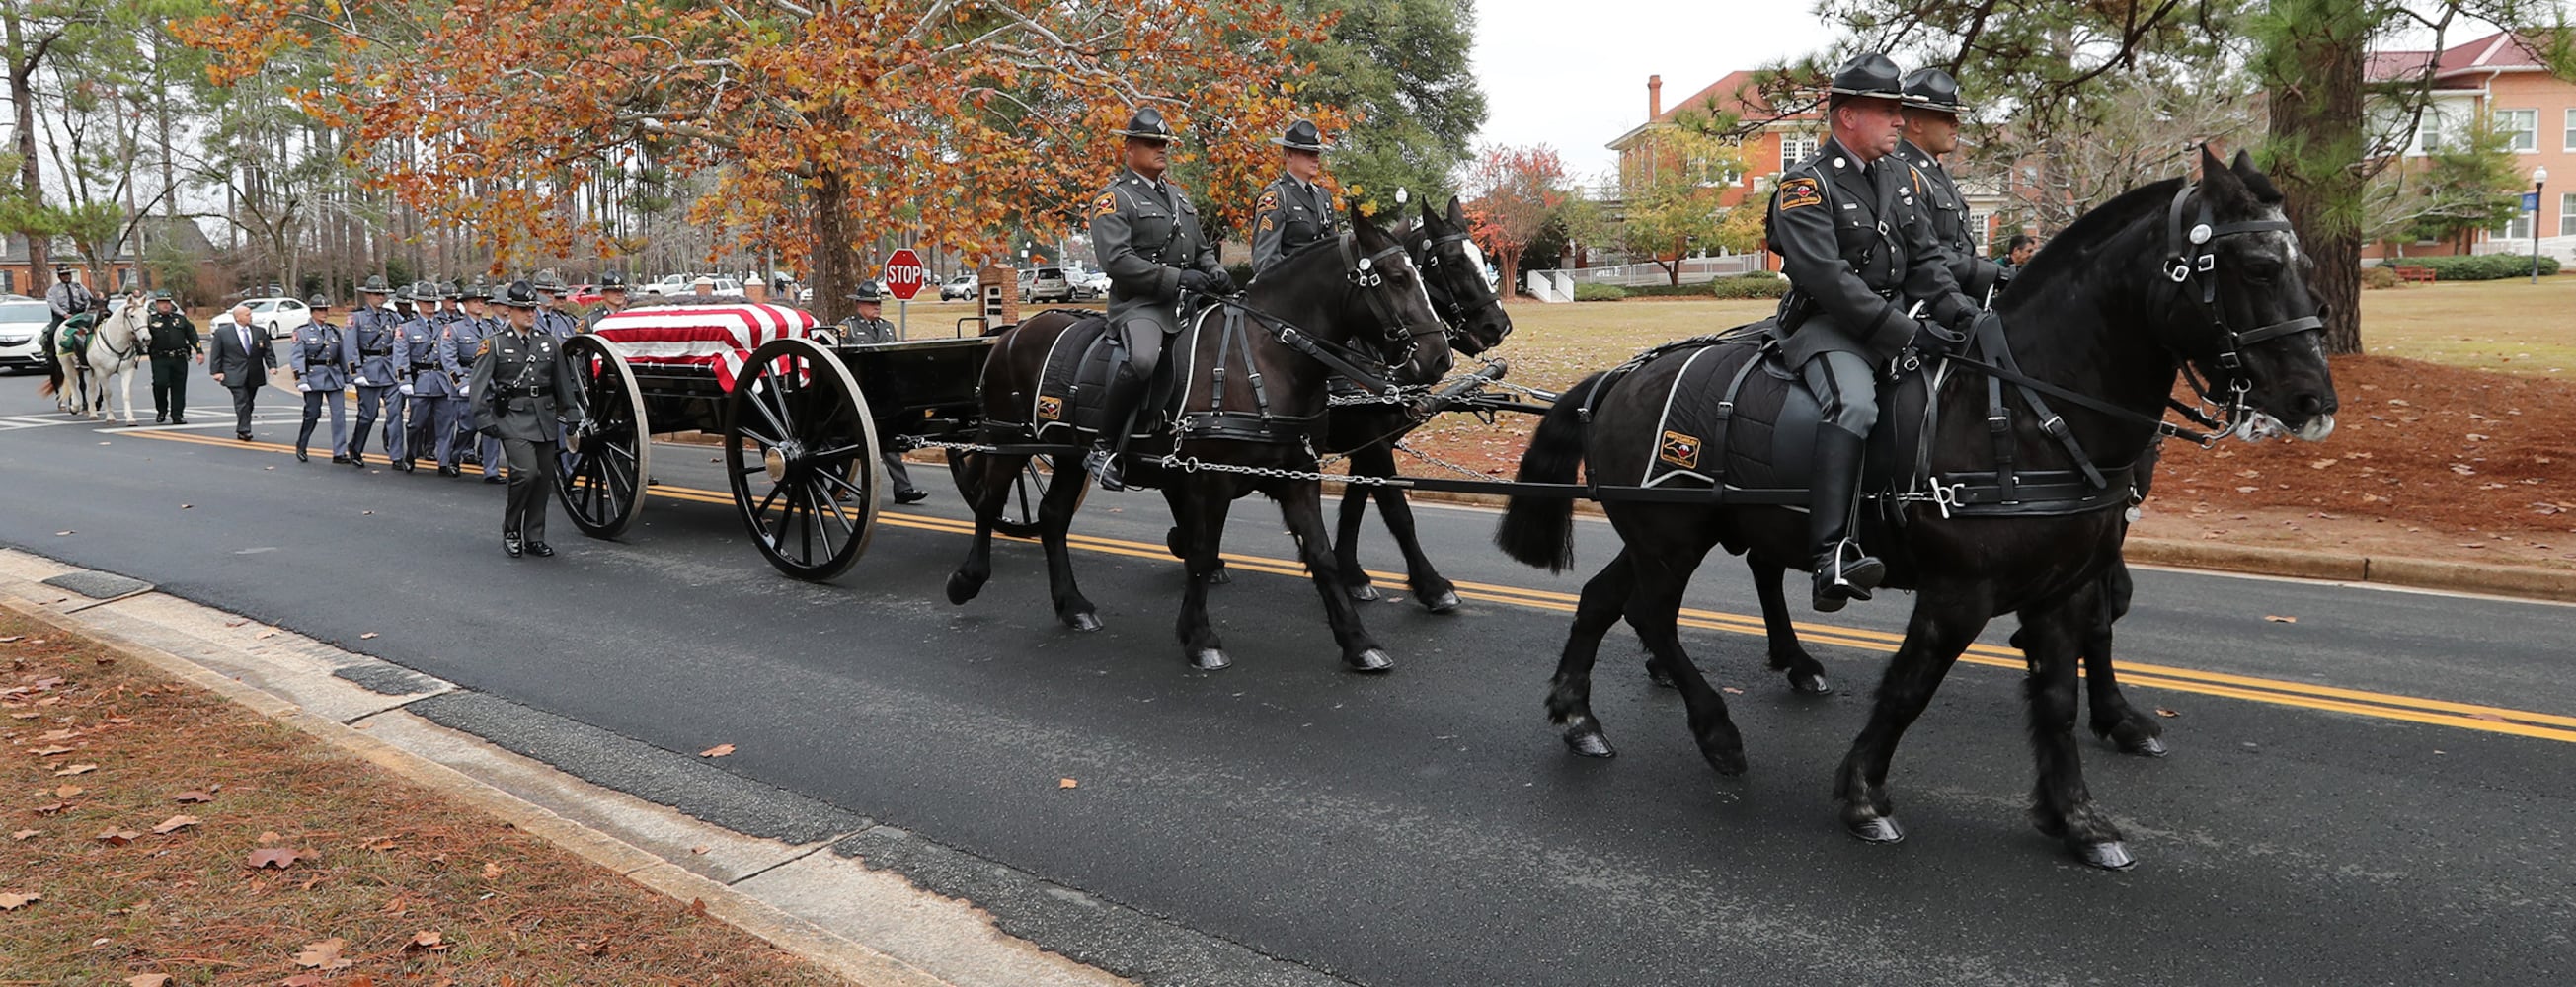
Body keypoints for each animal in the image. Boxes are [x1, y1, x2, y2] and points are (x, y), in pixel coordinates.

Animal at [958, 208, 1462, 669]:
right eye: (1398, 278)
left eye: (1422, 275)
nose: (1440, 357)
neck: (1265, 358)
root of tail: (1011, 333)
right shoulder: (1213, 479)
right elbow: (1202, 552)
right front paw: (1200, 637)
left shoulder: (1299, 475)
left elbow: (1323, 554)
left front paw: (1357, 641)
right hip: (1009, 444)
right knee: (987, 502)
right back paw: (968, 578)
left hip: (1066, 456)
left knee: (1052, 516)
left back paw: (1072, 606)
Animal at [1494, 150, 2338, 871]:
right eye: (2258, 266)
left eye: (2304, 267)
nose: (2313, 401)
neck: (2023, 406)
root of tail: (1620, 375)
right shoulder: (1956, 594)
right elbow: (1908, 689)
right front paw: (1864, 797)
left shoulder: (2063, 586)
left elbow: (2059, 695)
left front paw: (2077, 815)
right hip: (1672, 538)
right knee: (1650, 615)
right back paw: (1717, 732)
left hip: (1663, 534)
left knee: (1603, 599)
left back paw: (1579, 716)